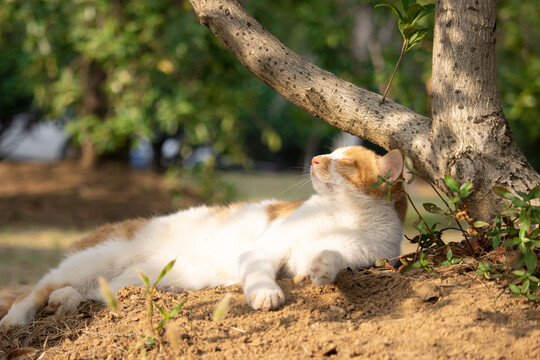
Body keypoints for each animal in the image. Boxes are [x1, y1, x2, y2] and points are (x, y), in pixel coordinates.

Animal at [0, 146, 404, 330]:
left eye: (345, 161)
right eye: (330, 154)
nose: (316, 158)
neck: (343, 217)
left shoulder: (326, 253)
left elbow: (327, 258)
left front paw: (323, 268)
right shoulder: (265, 247)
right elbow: (261, 274)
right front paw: (266, 293)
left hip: (125, 280)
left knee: (87, 291)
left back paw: (64, 302)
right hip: (98, 257)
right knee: (33, 289)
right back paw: (18, 318)